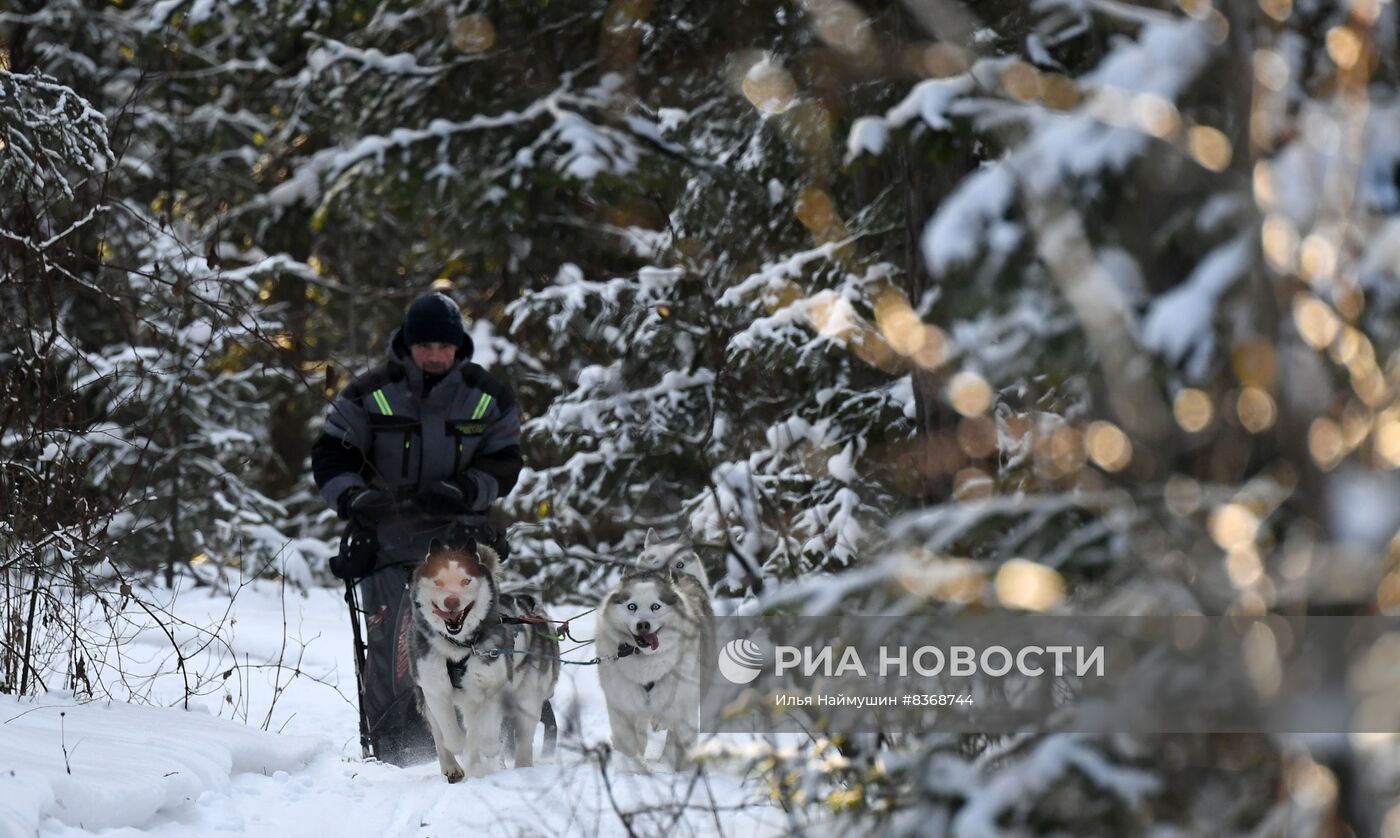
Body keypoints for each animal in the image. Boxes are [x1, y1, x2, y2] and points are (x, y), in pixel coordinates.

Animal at [406, 537, 557, 777]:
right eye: (438, 581)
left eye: (466, 580)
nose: (451, 601)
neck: (459, 648)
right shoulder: (433, 687)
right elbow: (448, 729)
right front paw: (460, 746)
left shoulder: (492, 689)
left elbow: (486, 731)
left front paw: (490, 748)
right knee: (440, 731)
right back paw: (454, 766)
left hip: (527, 698)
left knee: (520, 739)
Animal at [596, 545, 716, 766]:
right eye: (632, 606)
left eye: (655, 606)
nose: (643, 625)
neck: (646, 661)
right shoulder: (621, 701)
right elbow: (627, 737)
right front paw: (632, 762)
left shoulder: (683, 702)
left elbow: (679, 737)